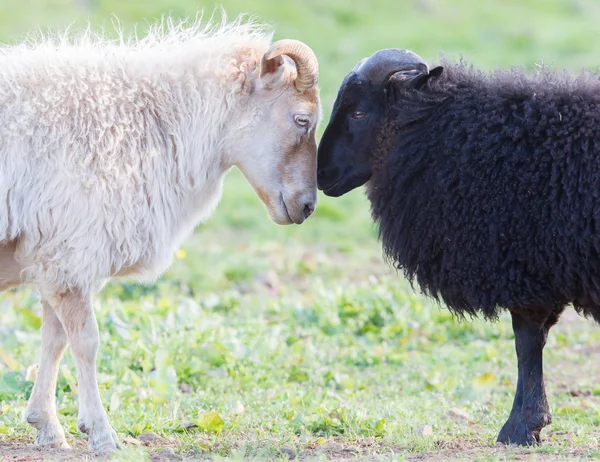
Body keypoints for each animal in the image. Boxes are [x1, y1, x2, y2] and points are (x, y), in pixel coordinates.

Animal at [0, 17, 322, 452]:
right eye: (301, 119)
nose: (308, 206)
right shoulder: (72, 252)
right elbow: (86, 342)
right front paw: (101, 432)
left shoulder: (58, 255)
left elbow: (54, 340)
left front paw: (46, 425)